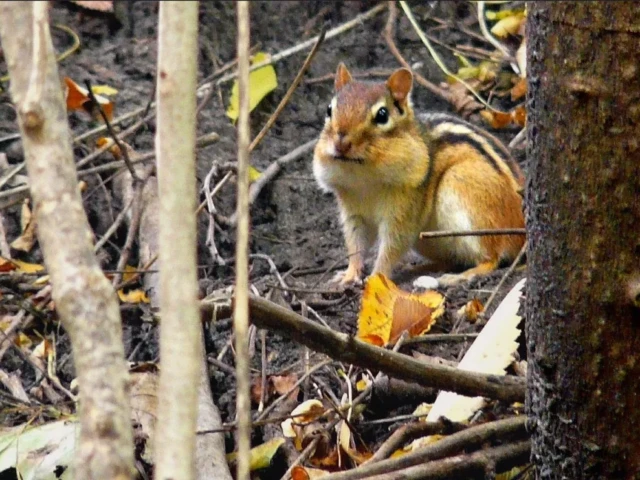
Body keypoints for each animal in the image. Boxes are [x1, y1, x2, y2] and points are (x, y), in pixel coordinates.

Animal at [312, 63, 525, 286]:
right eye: (329, 110)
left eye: (382, 115)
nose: (341, 143)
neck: (364, 178)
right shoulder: (353, 211)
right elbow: (355, 245)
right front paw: (349, 274)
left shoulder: (404, 209)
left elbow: (392, 246)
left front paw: (377, 276)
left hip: (463, 190)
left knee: (493, 257)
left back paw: (460, 276)